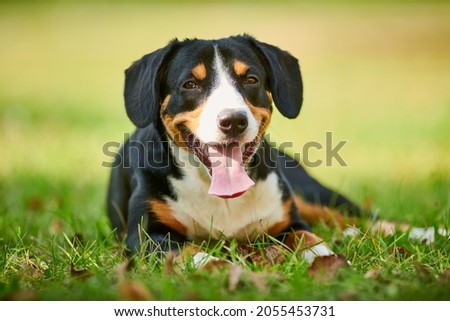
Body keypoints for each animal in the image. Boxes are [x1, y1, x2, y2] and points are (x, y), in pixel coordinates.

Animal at [107, 34, 364, 264]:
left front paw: (330, 260)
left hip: (311, 193)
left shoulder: (290, 222)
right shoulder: (147, 235)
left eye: (251, 80)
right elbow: (190, 252)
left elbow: (309, 238)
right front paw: (216, 267)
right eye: (190, 84)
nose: (233, 120)